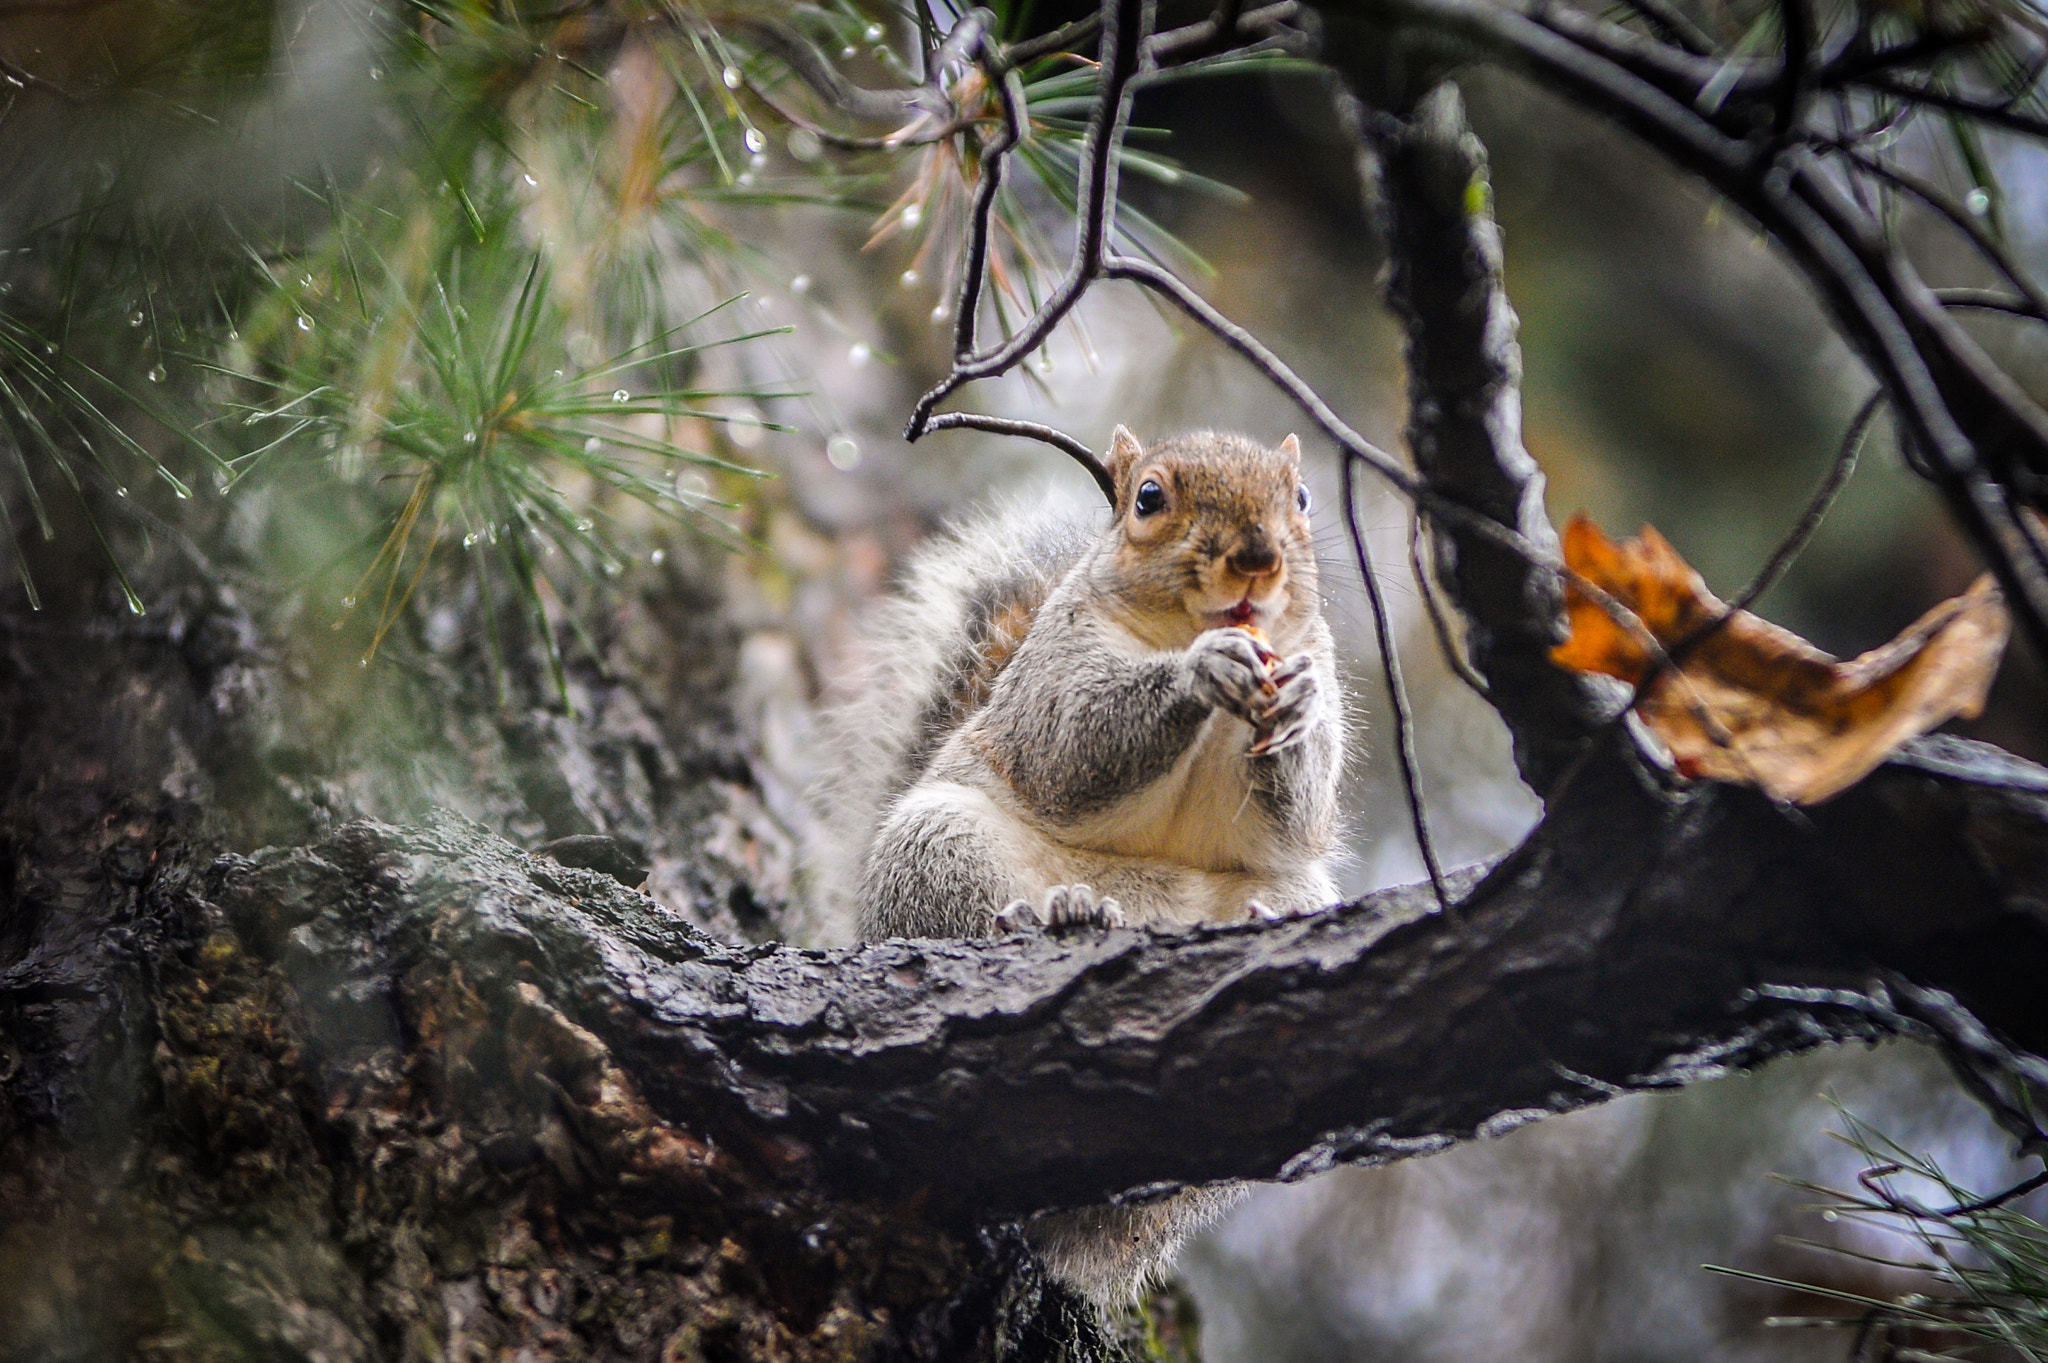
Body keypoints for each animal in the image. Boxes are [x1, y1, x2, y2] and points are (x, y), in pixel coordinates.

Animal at [814, 426, 1345, 1301]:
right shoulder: (1054, 666)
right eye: (1149, 499)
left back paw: (1262, 917)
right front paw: (1199, 669)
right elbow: (1077, 740)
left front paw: (1294, 704)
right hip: (933, 845)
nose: (1258, 558)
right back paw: (1056, 913)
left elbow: (1298, 808)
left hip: (1299, 888)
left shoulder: (1315, 668)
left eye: (1301, 498)